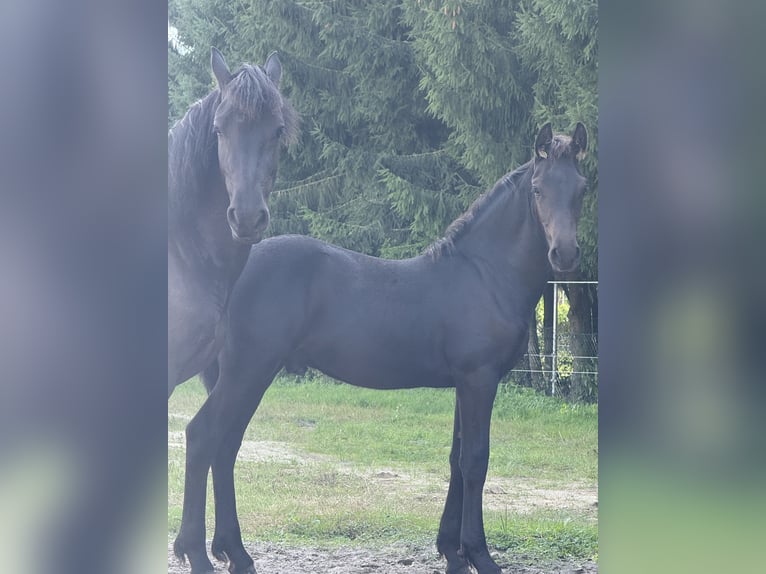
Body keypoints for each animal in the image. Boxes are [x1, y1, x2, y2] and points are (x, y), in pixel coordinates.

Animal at [173, 122, 589, 574]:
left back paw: (235, 552)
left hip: (248, 376)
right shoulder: (479, 380)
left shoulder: (464, 383)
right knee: (203, 436)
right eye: (537, 189)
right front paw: (480, 555)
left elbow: (456, 459)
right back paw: (197, 552)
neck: (484, 274)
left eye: (582, 188)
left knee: (226, 446)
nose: (565, 253)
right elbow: (475, 462)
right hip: (248, 371)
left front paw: (451, 552)